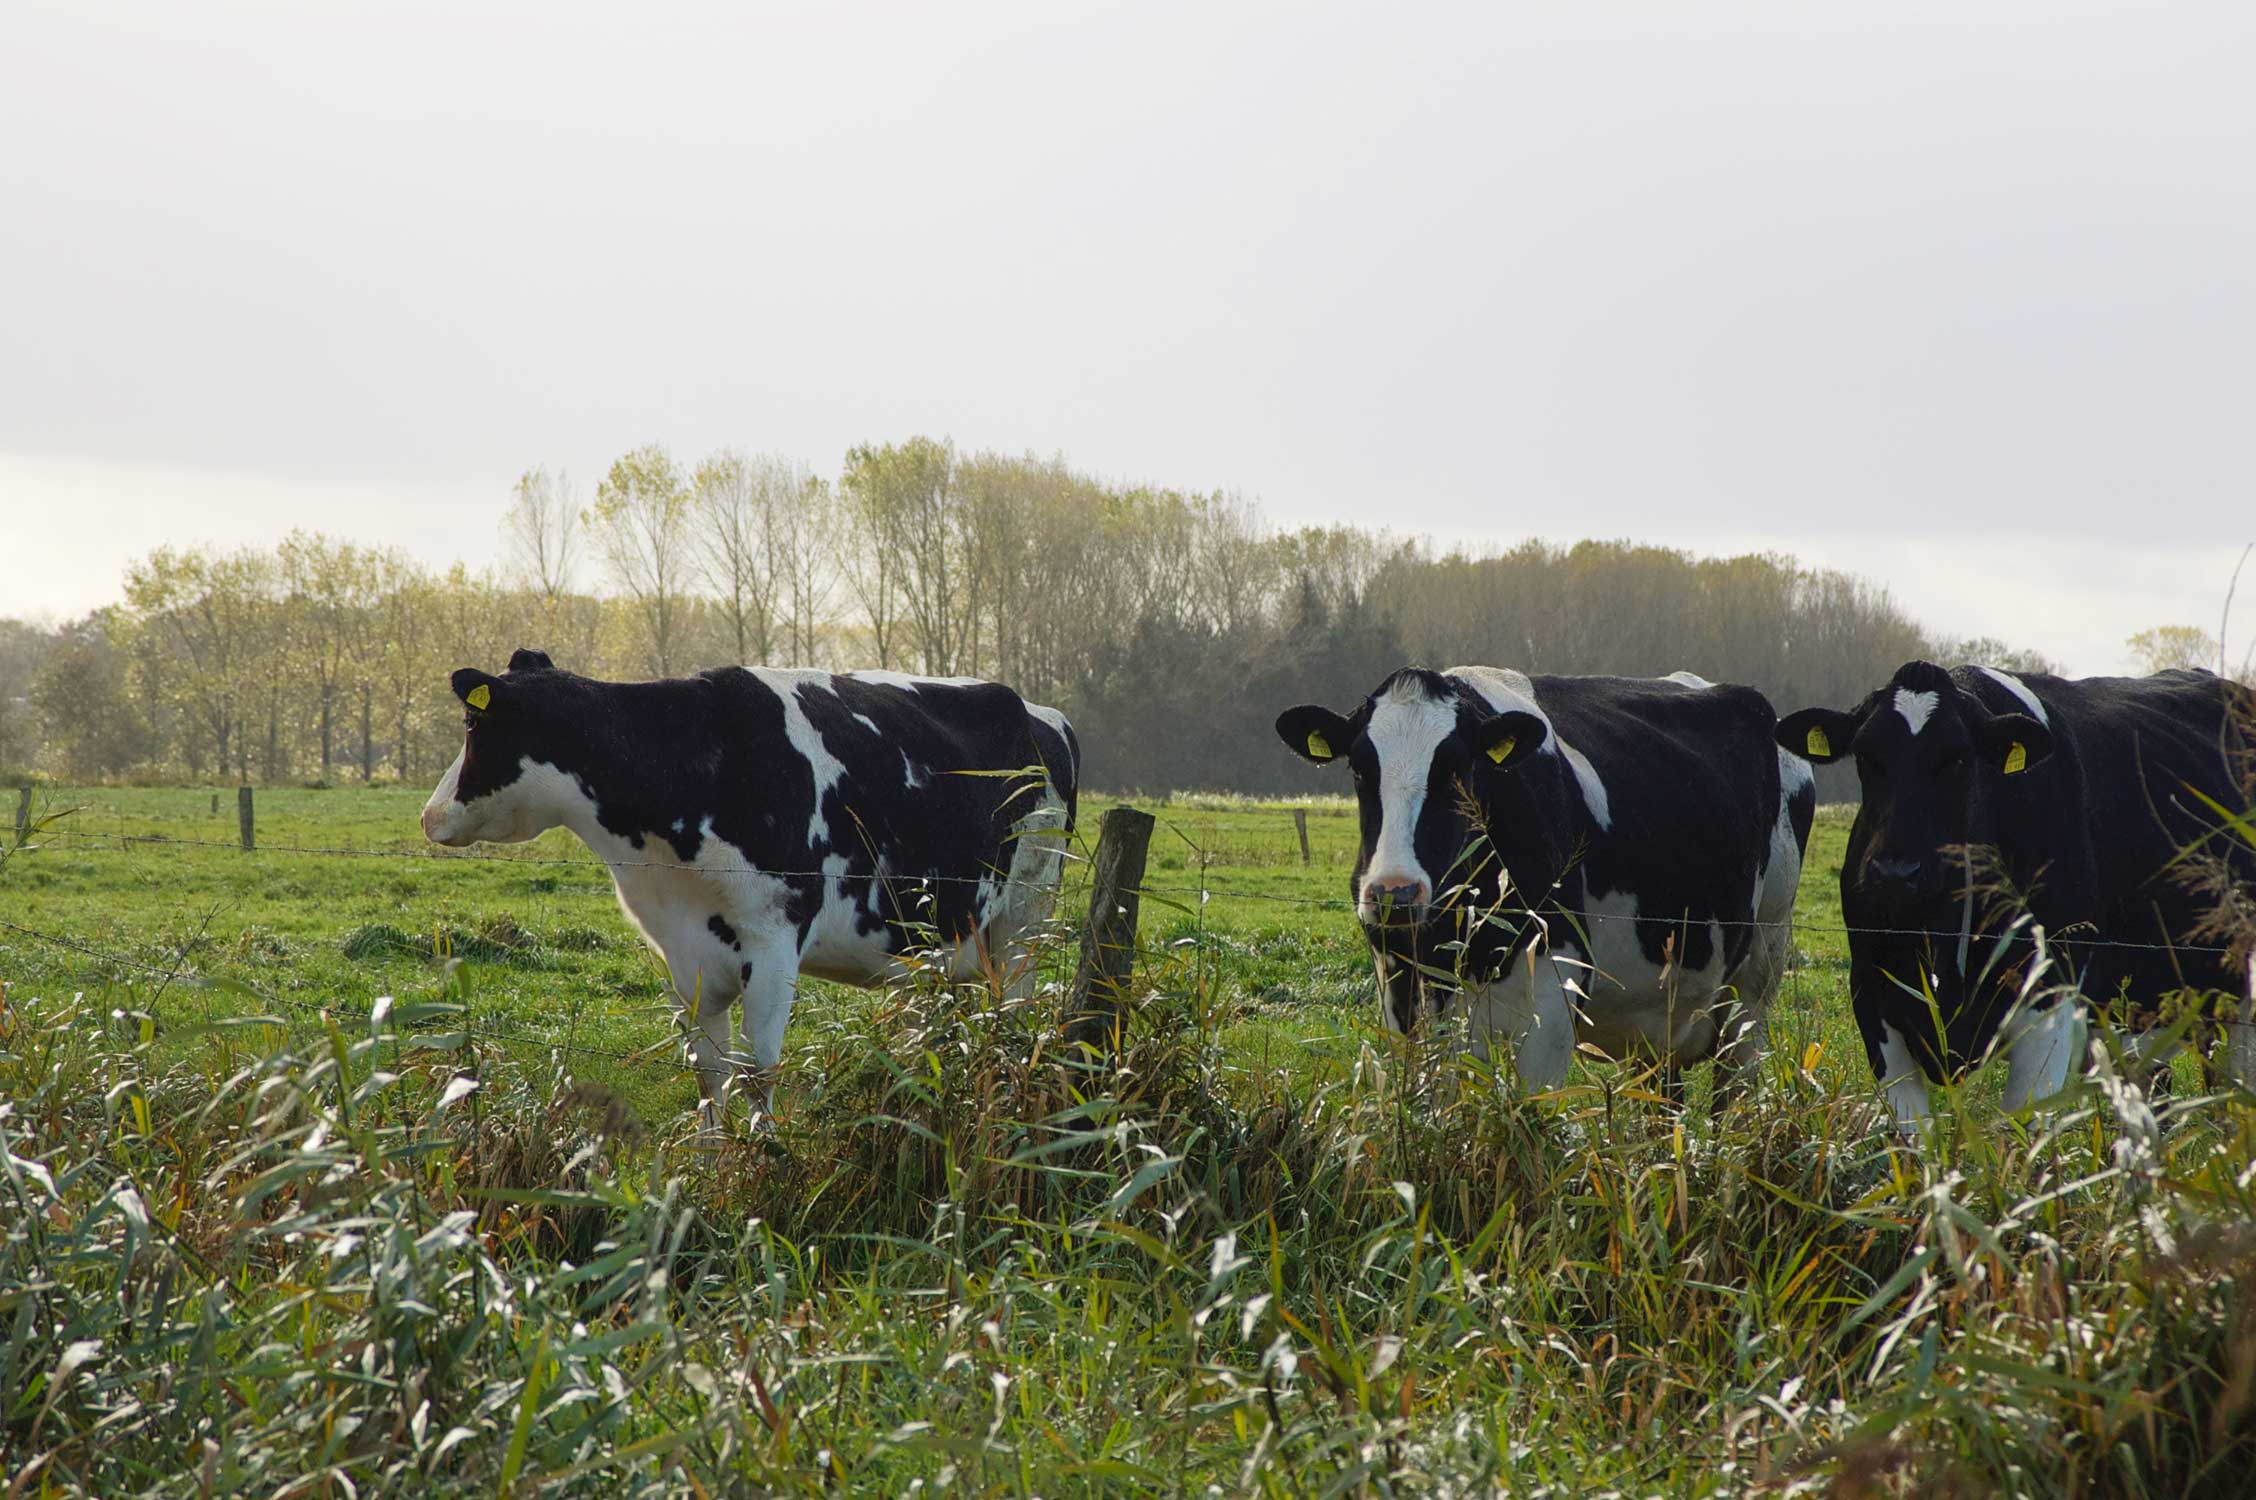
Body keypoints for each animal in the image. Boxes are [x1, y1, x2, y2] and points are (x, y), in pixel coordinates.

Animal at [420, 649, 1079, 1127]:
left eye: (472, 722)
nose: (429, 815)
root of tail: (1042, 712)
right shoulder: (680, 949)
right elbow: (709, 1070)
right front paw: (713, 1160)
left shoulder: (774, 935)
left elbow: (759, 1069)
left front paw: (763, 1161)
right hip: (938, 936)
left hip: (1025, 918)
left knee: (1015, 1012)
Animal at [1275, 666, 1815, 1107]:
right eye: (1358, 768)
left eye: (1457, 769)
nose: (1394, 893)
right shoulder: (1405, 999)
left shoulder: (1554, 1002)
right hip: (1661, 1013)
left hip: (1759, 970)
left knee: (1735, 1089)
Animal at [1777, 661, 2256, 1131]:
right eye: (1865, 755)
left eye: (1958, 758)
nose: (1896, 873)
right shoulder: (1873, 996)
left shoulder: (2050, 1001)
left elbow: (2022, 1137)